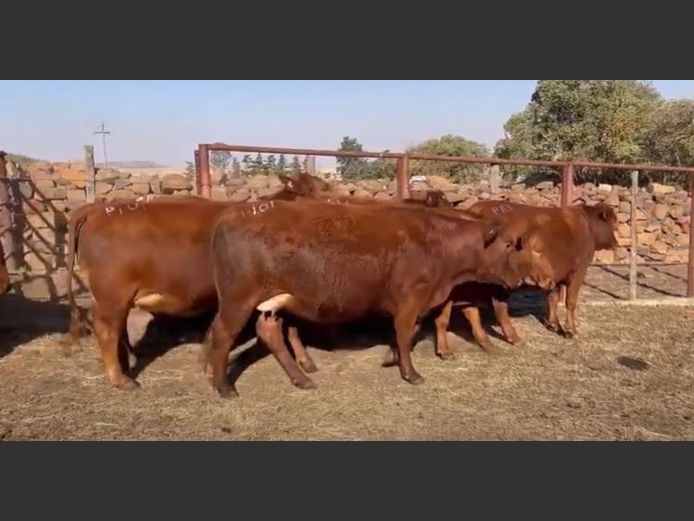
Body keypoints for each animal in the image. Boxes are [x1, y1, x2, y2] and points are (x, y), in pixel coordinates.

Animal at [204, 199, 536, 398]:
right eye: (508, 245)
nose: (520, 279)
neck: (437, 243)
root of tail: (234, 214)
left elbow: (409, 333)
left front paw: (392, 358)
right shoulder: (411, 299)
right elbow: (404, 332)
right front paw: (410, 372)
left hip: (275, 302)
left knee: (270, 332)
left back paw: (301, 378)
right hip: (238, 299)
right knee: (222, 334)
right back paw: (224, 387)